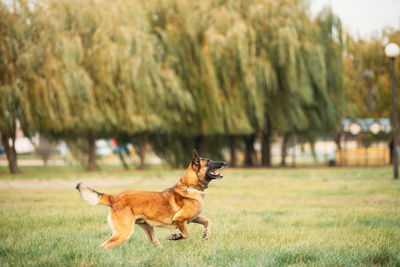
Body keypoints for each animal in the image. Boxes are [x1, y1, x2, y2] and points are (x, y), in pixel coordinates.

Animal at [75, 149, 225, 249]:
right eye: (209, 162)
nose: (224, 162)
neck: (190, 186)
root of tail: (113, 197)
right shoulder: (180, 219)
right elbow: (186, 234)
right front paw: (176, 236)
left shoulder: (193, 218)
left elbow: (208, 222)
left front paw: (205, 235)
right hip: (124, 233)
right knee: (104, 246)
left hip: (148, 229)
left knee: (155, 243)